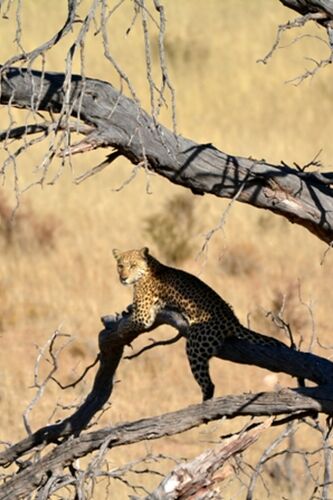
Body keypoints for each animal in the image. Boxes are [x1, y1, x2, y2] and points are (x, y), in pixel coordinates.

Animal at [112, 247, 280, 402]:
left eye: (132, 265)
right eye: (120, 266)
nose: (123, 278)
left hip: (195, 346)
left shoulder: (144, 316)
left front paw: (119, 331)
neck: (150, 266)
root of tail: (232, 320)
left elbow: (127, 324)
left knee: (208, 384)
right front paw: (127, 310)